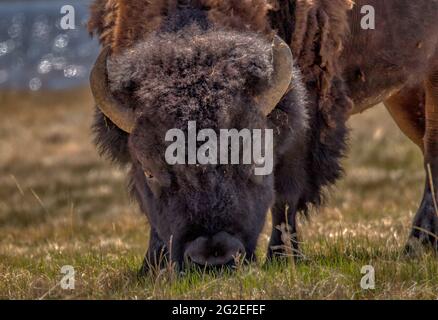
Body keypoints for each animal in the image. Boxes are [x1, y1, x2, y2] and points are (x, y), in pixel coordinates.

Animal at [87, 0, 438, 272]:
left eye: (256, 158)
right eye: (149, 170)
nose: (214, 257)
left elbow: (285, 191)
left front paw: (282, 258)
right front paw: (150, 267)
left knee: (431, 153)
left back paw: (417, 244)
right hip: (404, 96)